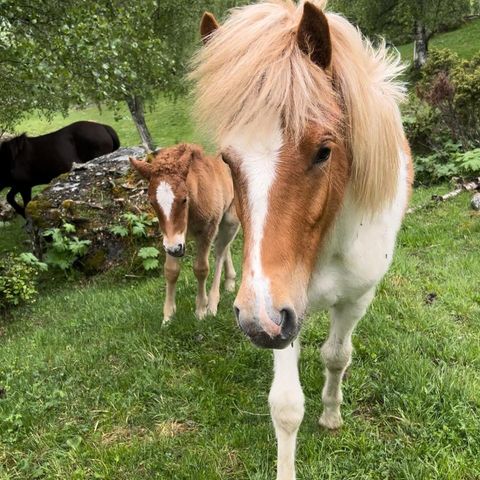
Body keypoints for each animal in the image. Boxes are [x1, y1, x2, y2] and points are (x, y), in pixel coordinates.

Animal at [128, 143, 239, 322]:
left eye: (184, 199)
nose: (175, 249)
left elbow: (201, 269)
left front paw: (201, 310)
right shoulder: (171, 238)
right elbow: (170, 270)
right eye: (151, 203)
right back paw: (229, 282)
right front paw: (168, 316)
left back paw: (213, 302)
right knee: (224, 247)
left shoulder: (206, 230)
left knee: (220, 252)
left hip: (230, 218)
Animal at [191, 1, 412, 478]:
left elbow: (336, 356)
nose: (256, 319)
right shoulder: (282, 308)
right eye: (227, 159)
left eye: (324, 150)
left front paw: (331, 415)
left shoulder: (349, 300)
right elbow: (286, 406)